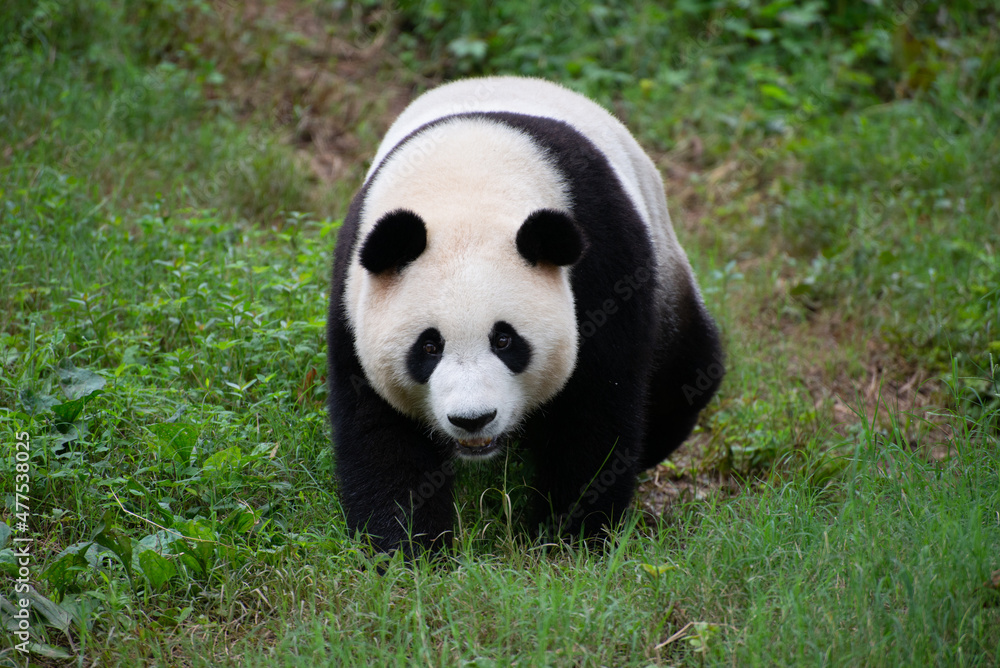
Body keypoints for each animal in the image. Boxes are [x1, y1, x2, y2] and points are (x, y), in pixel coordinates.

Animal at [327, 76, 723, 554]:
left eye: (504, 340)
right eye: (428, 346)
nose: (473, 419)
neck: (465, 184)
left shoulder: (605, 262)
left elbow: (595, 407)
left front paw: (570, 535)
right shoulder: (354, 297)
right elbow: (380, 428)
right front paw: (408, 546)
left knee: (687, 373)